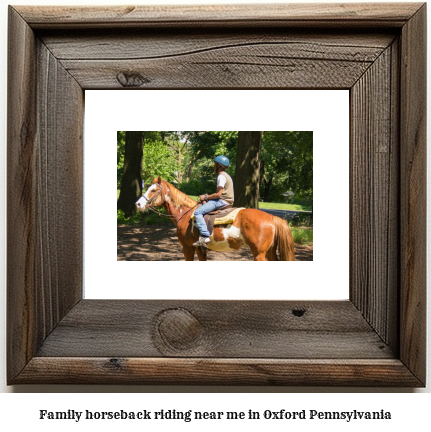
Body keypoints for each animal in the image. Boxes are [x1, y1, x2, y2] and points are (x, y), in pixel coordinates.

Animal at [137, 175, 296, 260]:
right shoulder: (200, 250)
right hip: (269, 251)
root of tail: (271, 217)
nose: (138, 204)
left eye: (153, 190)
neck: (186, 213)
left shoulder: (188, 247)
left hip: (259, 253)